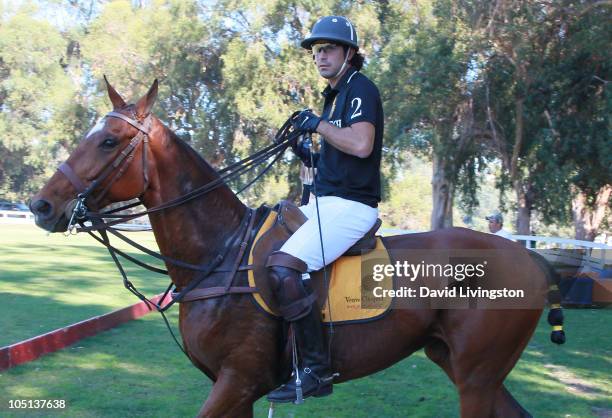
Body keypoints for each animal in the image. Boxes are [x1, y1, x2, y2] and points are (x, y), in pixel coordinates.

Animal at [29, 79, 564, 418]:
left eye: (109, 141)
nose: (41, 205)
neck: (217, 256)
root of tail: (533, 259)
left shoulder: (237, 381)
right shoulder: (234, 389)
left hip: (476, 376)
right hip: (457, 363)